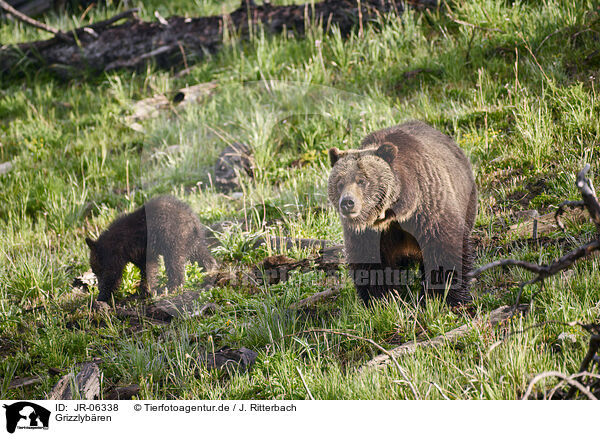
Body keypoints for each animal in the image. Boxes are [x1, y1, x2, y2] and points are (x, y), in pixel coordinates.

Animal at [83, 195, 217, 302]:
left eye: (96, 269)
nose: (97, 286)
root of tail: (193, 219)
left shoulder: (118, 254)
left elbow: (112, 275)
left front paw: (101, 297)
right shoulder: (140, 253)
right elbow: (148, 268)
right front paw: (145, 289)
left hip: (173, 237)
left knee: (174, 262)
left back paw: (172, 286)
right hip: (191, 239)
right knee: (200, 253)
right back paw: (210, 268)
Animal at [328, 120, 478, 306]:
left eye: (362, 180)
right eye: (339, 183)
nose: (347, 203)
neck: (392, 215)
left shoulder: (428, 210)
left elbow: (444, 249)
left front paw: (444, 298)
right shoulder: (368, 234)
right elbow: (370, 264)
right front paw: (381, 300)